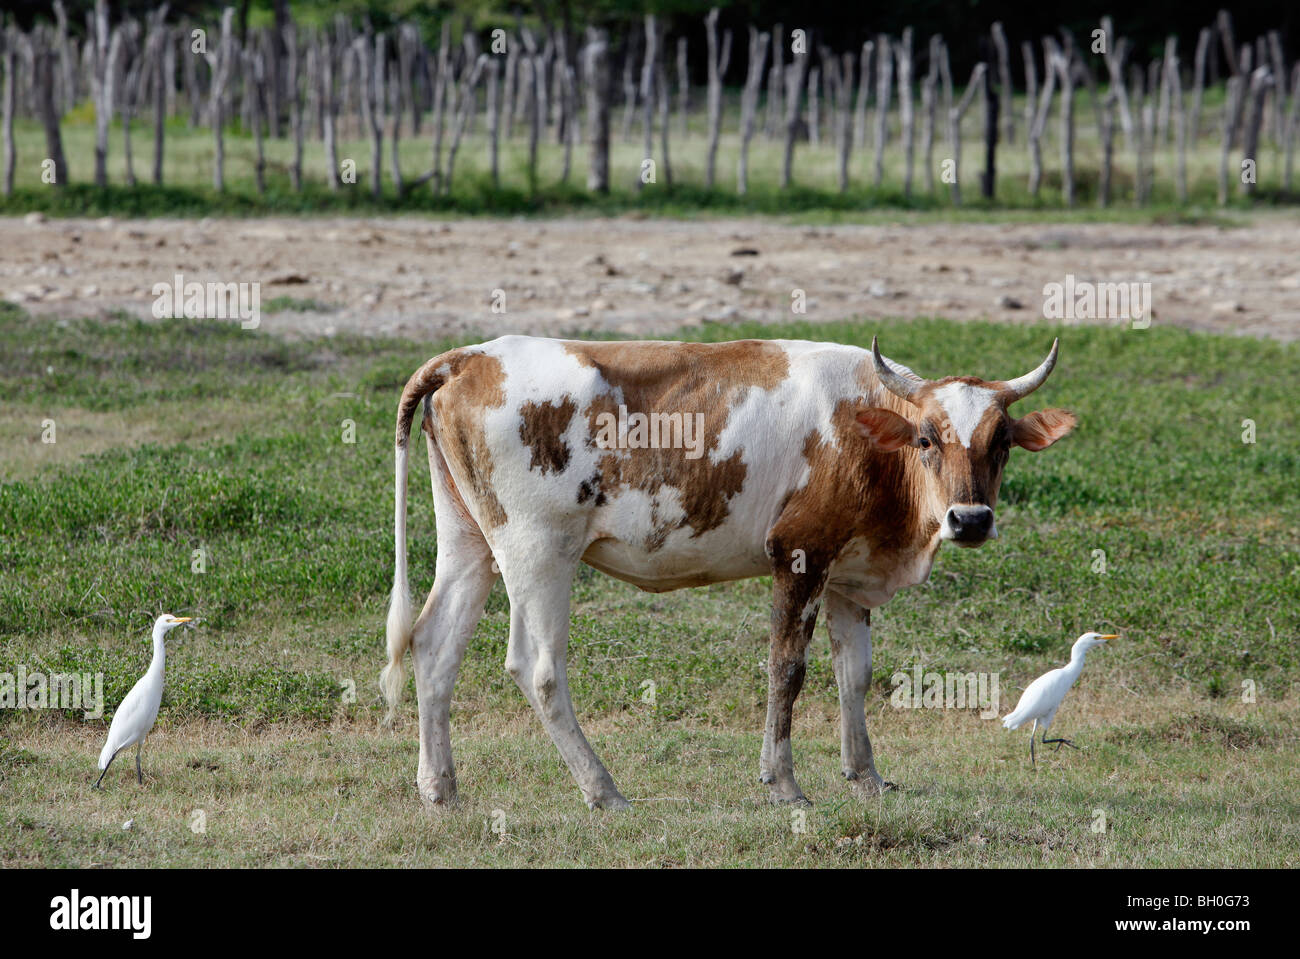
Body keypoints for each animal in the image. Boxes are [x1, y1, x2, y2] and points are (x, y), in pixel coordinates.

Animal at [379, 335, 1076, 805]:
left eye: (1002, 443)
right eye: (927, 438)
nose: (971, 519)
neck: (866, 432)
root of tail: (471, 356)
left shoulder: (849, 575)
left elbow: (854, 677)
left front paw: (866, 777)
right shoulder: (799, 553)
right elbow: (787, 672)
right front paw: (784, 783)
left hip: (469, 540)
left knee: (435, 645)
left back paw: (440, 789)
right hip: (538, 552)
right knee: (538, 668)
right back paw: (604, 790)